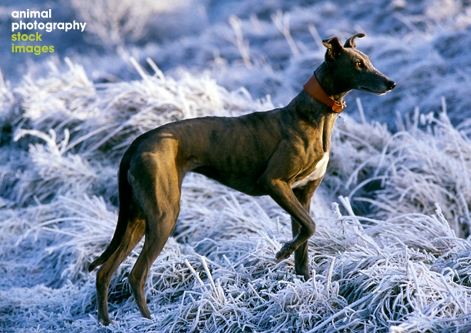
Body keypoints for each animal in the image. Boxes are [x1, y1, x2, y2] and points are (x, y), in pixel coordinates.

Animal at [90, 32, 396, 322]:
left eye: (368, 60)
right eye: (357, 65)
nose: (391, 83)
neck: (314, 117)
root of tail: (139, 141)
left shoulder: (302, 195)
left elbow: (304, 244)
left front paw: (305, 285)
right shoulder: (274, 183)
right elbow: (310, 227)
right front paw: (283, 252)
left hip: (137, 218)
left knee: (105, 271)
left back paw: (106, 322)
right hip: (164, 215)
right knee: (136, 274)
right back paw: (148, 321)